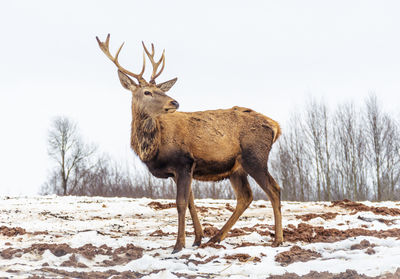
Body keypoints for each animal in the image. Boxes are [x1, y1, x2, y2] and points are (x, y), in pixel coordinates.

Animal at [96, 34, 284, 254]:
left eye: (160, 89)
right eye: (147, 92)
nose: (174, 102)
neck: (152, 147)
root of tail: (275, 126)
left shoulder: (184, 162)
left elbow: (180, 203)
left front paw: (178, 245)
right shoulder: (179, 171)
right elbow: (191, 203)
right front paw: (197, 239)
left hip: (255, 157)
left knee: (274, 190)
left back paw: (278, 239)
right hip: (236, 168)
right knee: (245, 196)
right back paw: (216, 237)